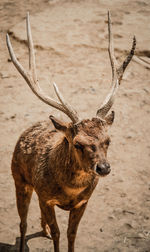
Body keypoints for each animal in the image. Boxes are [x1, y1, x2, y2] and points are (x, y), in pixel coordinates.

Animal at [6, 11, 136, 252]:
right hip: (18, 178)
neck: (69, 191)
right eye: (77, 143)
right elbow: (58, 234)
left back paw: (44, 231)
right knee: (22, 223)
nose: (103, 168)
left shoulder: (83, 202)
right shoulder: (45, 197)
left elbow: (71, 234)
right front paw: (52, 236)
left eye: (108, 140)